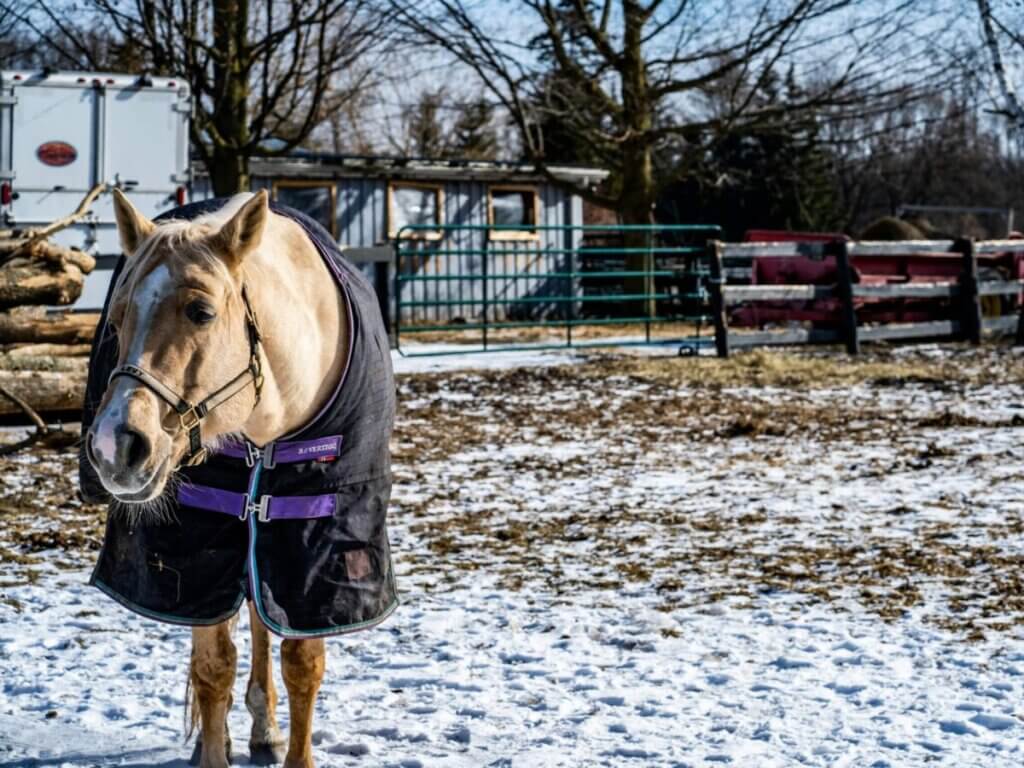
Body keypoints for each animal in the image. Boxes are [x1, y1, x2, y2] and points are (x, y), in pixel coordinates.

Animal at [81, 189, 397, 768]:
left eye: (201, 312)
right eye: (116, 317)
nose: (115, 444)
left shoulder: (314, 542)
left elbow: (300, 662)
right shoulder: (200, 534)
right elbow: (213, 666)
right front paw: (212, 748)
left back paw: (263, 729)